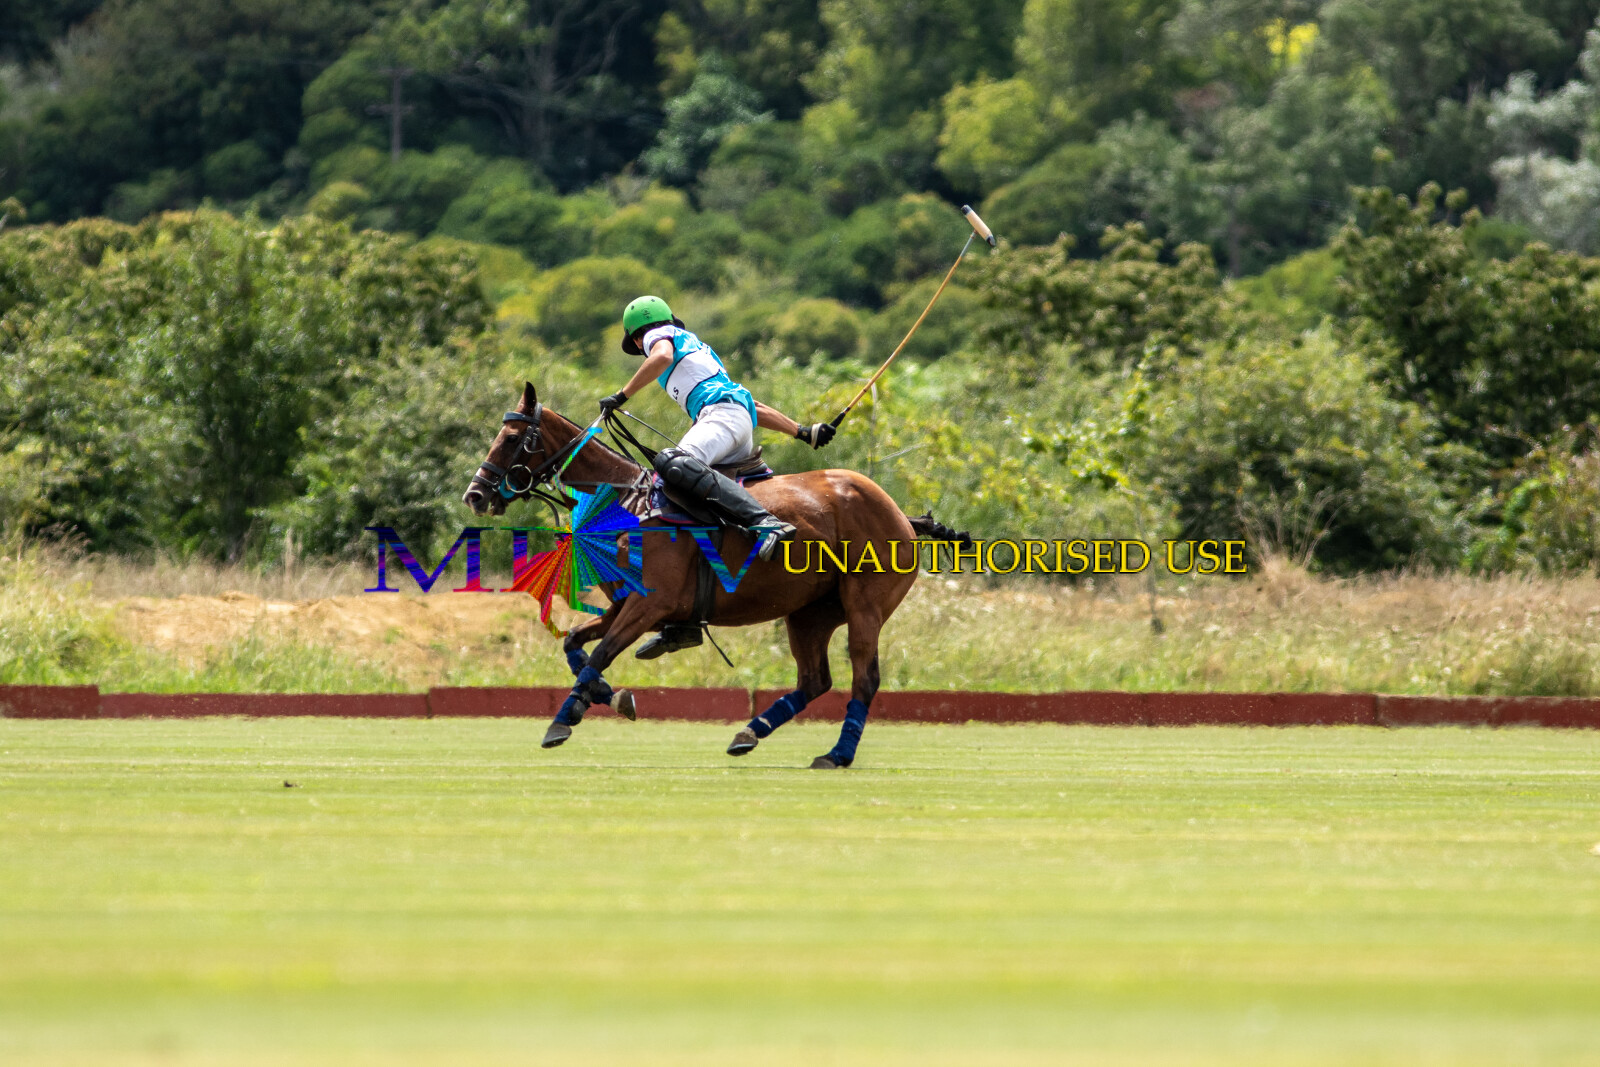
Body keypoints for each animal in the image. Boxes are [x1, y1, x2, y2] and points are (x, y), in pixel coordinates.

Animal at [461, 383, 967, 768]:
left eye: (511, 438)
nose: (475, 495)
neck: (626, 501)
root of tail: (901, 515)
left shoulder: (652, 602)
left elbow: (600, 653)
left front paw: (562, 721)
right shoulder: (626, 604)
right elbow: (575, 645)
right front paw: (610, 697)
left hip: (865, 604)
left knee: (864, 677)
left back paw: (836, 754)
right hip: (810, 612)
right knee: (814, 679)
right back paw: (748, 733)